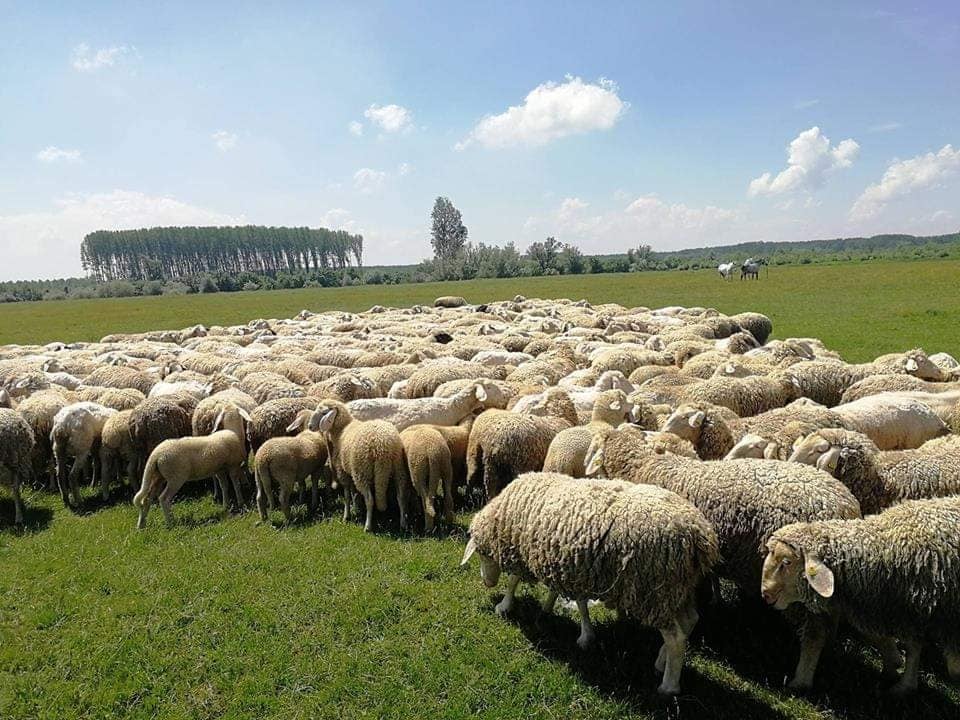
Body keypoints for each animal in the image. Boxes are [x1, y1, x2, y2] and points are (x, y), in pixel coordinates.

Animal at [308, 402, 408, 532]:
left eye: (324, 413)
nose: (310, 426)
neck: (342, 430)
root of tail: (382, 445)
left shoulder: (343, 471)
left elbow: (346, 495)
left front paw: (346, 515)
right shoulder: (350, 471)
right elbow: (353, 492)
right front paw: (356, 507)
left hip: (361, 472)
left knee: (370, 500)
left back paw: (368, 526)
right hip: (398, 469)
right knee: (400, 497)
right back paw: (403, 523)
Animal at [462, 470, 716, 696]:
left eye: (482, 554)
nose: (487, 583)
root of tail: (698, 534)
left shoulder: (528, 553)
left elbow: (514, 580)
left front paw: (504, 606)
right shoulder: (569, 563)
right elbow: (577, 601)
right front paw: (560, 616)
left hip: (654, 591)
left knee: (675, 638)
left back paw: (669, 685)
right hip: (680, 588)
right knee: (690, 621)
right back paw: (661, 662)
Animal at [764, 498, 960, 696]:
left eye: (787, 562)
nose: (765, 594)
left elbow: (953, 666)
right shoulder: (910, 611)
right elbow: (913, 647)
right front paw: (905, 684)